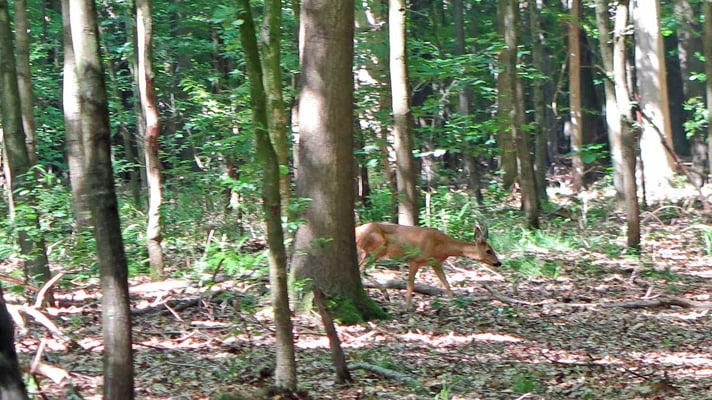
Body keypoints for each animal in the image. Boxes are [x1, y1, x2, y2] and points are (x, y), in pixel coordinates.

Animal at [355, 221, 502, 310]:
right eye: (488, 250)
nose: (499, 263)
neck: (443, 247)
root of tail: (356, 230)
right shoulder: (415, 260)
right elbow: (410, 284)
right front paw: (408, 307)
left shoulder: (436, 263)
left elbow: (446, 283)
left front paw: (455, 303)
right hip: (377, 248)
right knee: (361, 269)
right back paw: (385, 294)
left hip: (371, 252)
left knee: (362, 269)